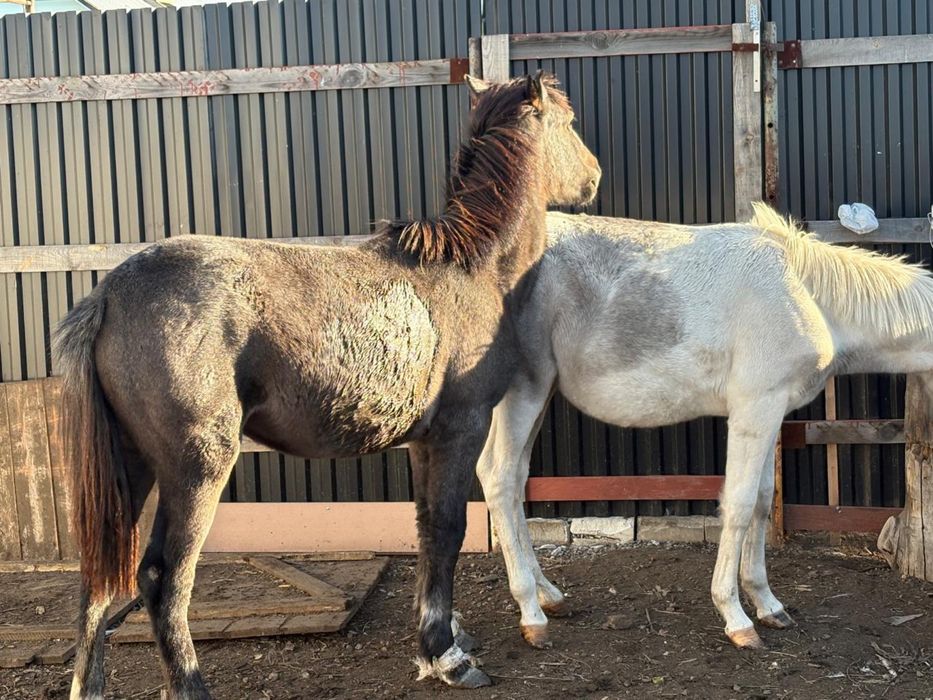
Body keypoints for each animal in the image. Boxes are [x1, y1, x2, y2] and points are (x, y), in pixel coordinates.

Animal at [55, 72, 600, 698]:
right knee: (162, 579)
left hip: (133, 463)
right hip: (195, 469)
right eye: (568, 121)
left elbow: (424, 531)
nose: (593, 175)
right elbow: (448, 528)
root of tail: (109, 294)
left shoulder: (422, 440)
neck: (469, 270)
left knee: (98, 578)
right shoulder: (461, 429)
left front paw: (433, 645)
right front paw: (448, 656)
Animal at [476, 203, 933, 651]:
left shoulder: (772, 410)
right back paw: (532, 616)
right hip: (524, 390)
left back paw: (549, 597)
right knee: (499, 478)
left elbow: (763, 500)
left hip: (540, 394)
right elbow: (740, 504)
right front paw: (736, 618)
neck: (808, 294)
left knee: (512, 482)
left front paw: (768, 604)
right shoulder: (754, 408)